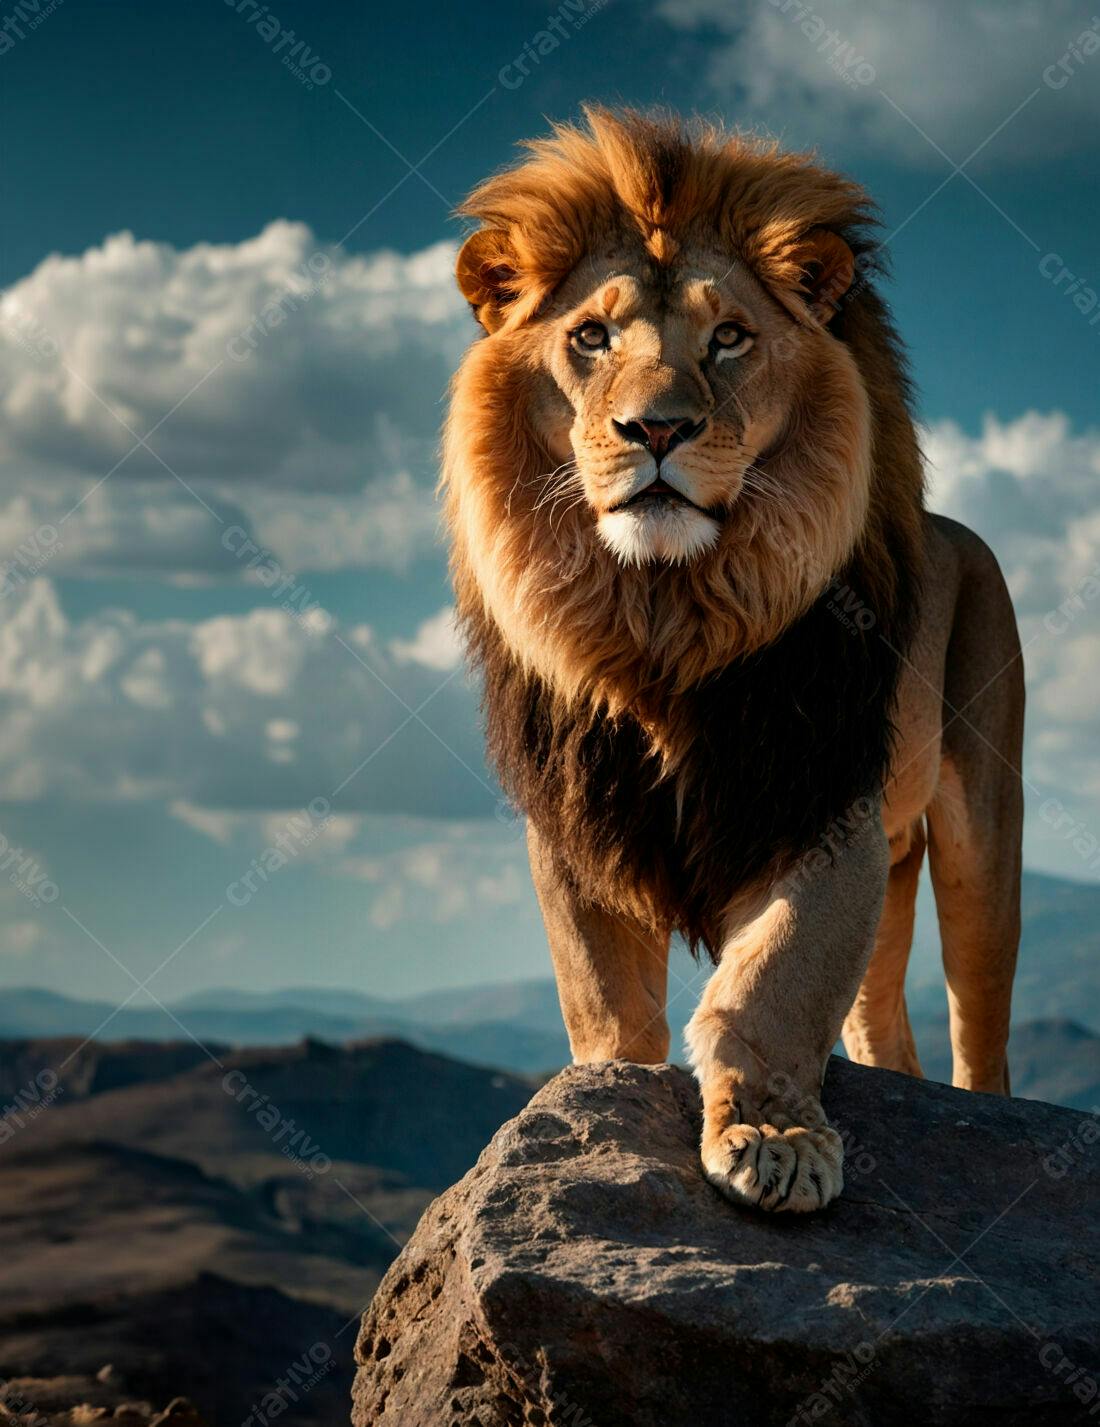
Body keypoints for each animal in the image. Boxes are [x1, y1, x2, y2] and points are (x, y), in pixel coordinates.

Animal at [442, 107, 1023, 1213]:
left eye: (729, 337)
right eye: (590, 338)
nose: (657, 428)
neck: (664, 614)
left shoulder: (815, 800)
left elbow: (767, 988)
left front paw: (773, 1140)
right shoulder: (578, 823)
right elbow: (609, 1011)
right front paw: (596, 1113)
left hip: (981, 824)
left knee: (982, 1034)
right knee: (884, 1029)